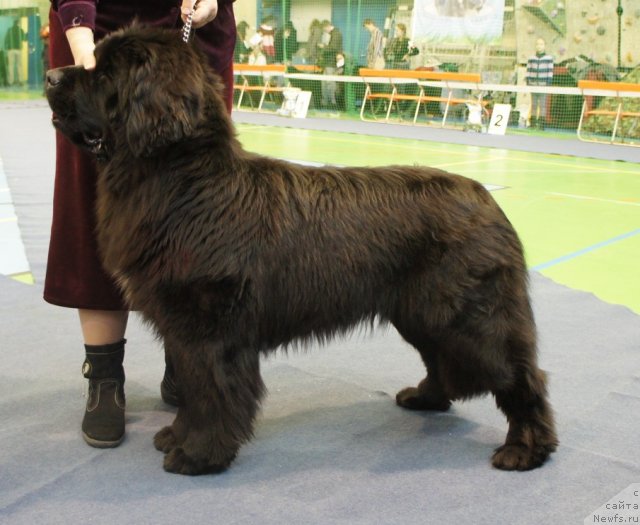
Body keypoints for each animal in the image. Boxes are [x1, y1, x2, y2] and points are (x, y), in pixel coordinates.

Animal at [46, 25, 556, 474]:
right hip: (421, 312)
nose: (51, 76)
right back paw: (425, 397)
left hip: (469, 317)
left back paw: (525, 450)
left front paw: (199, 455)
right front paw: (177, 435)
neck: (183, 180)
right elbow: (191, 387)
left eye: (106, 75)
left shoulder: (212, 327)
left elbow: (211, 390)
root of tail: (488, 199)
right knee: (442, 361)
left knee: (522, 376)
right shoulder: (184, 327)